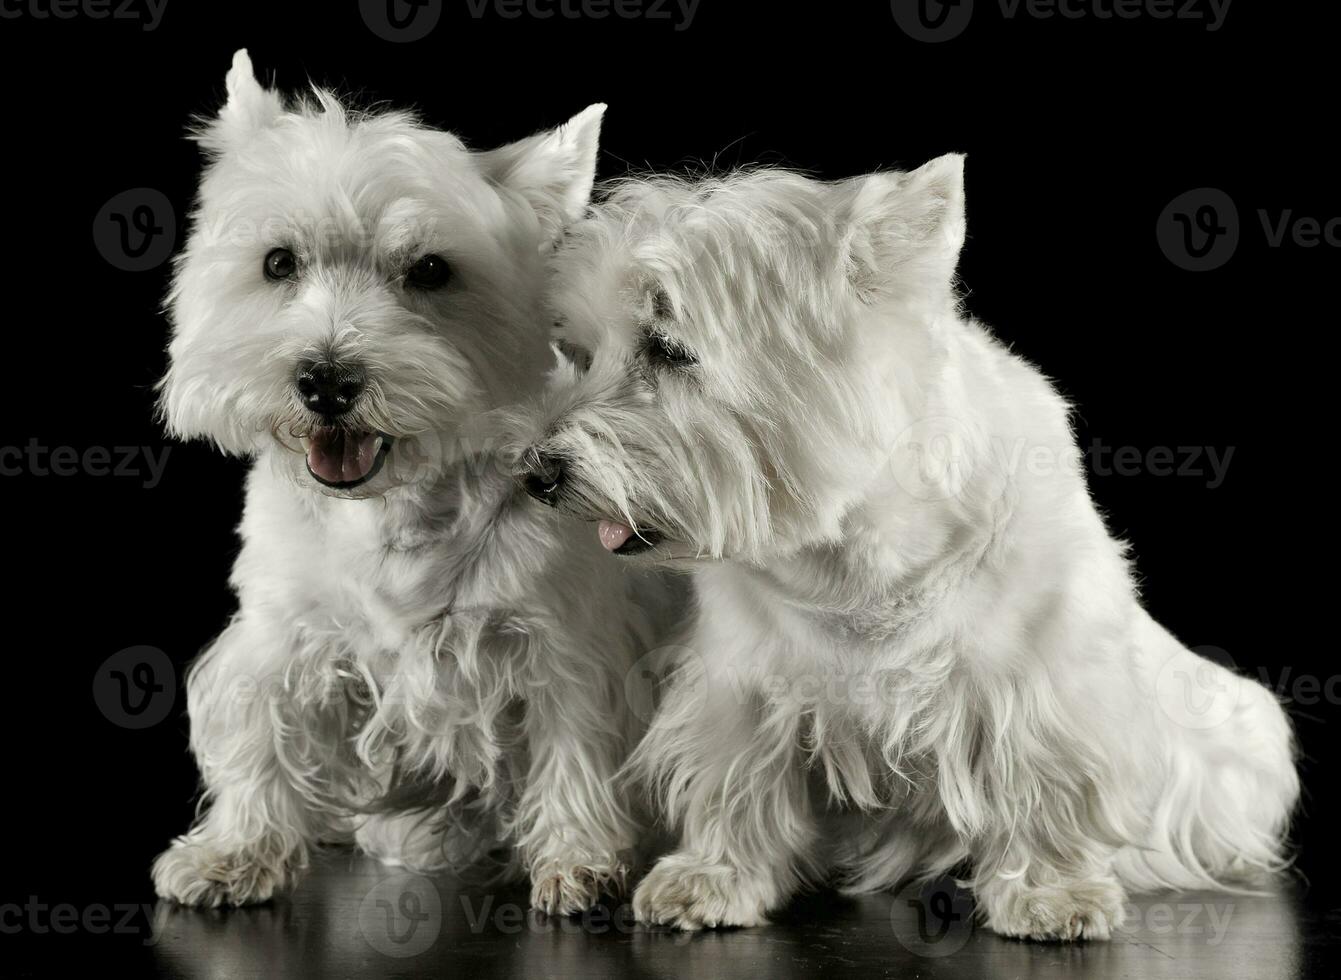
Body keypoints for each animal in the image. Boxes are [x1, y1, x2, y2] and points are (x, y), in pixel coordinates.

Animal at [150, 49, 665, 916]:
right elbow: (259, 729)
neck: (392, 508)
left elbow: (574, 746)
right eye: (278, 262)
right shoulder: (279, 635)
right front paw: (236, 852)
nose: (325, 381)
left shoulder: (564, 645)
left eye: (430, 271)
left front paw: (577, 860)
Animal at [514, 156, 1298, 938]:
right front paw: (710, 878)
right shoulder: (738, 678)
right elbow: (735, 775)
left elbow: (1041, 780)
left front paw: (1053, 895)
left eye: (668, 349)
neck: (850, 564)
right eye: (583, 352)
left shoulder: (1041, 681)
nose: (536, 473)